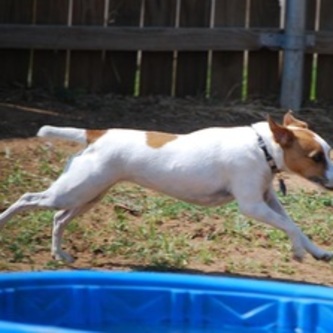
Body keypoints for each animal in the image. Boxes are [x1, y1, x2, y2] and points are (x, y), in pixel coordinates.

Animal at [0, 111, 332, 262]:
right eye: (317, 157)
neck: (262, 147)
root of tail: (97, 134)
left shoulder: (268, 200)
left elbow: (295, 225)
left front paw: (315, 251)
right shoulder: (252, 205)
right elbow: (289, 227)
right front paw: (298, 252)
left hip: (88, 195)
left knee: (58, 218)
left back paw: (60, 255)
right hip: (71, 192)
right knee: (27, 198)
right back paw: (5, 221)